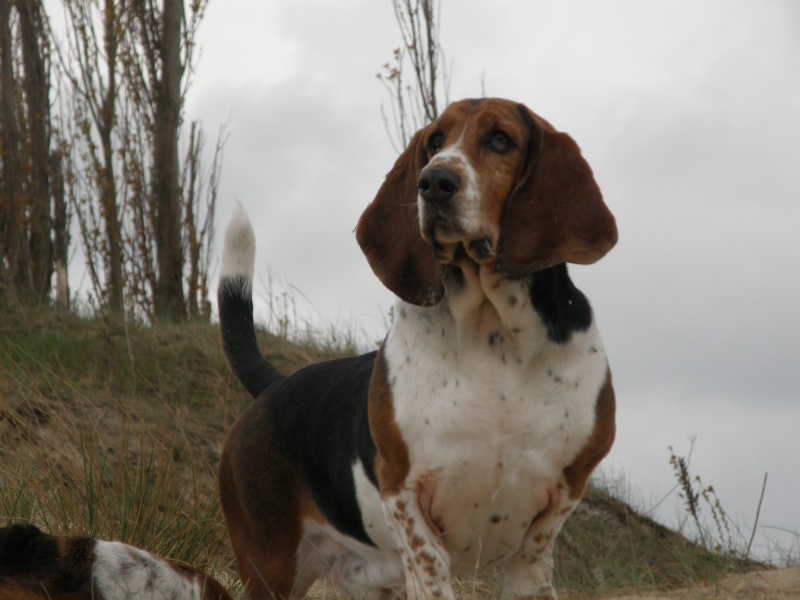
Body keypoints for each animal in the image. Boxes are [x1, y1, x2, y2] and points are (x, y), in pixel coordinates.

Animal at [219, 96, 620, 596]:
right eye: (434, 140)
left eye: (500, 139)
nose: (433, 181)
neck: (493, 338)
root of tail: (275, 386)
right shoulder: (404, 496)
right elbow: (430, 567)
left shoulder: (559, 501)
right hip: (270, 567)